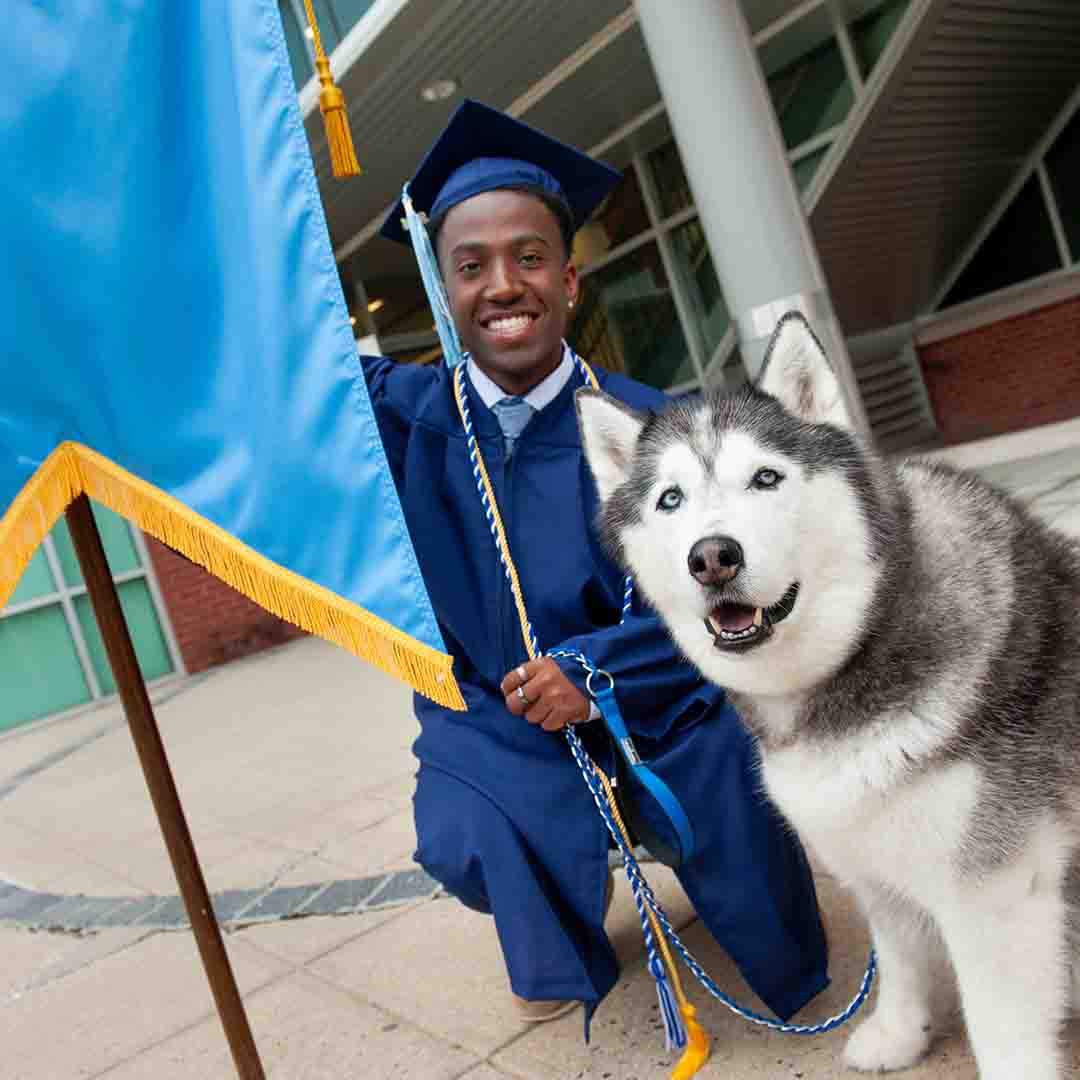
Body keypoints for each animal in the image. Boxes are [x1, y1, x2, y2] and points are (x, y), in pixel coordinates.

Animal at [578, 308, 1080, 1075]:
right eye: (670, 499)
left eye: (765, 478)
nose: (712, 556)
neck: (860, 650)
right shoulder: (872, 860)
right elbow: (899, 955)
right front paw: (900, 1034)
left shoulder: (996, 892)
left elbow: (1001, 1026)